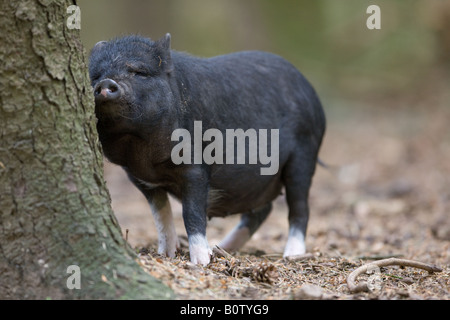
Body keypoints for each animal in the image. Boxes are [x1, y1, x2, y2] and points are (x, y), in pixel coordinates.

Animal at [89, 35, 326, 264]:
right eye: (96, 76)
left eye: (139, 72)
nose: (106, 83)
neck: (145, 156)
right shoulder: (141, 179)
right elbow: (161, 214)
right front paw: (167, 254)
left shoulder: (196, 166)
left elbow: (191, 212)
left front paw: (201, 262)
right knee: (261, 211)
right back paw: (223, 249)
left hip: (304, 152)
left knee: (299, 207)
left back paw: (291, 255)